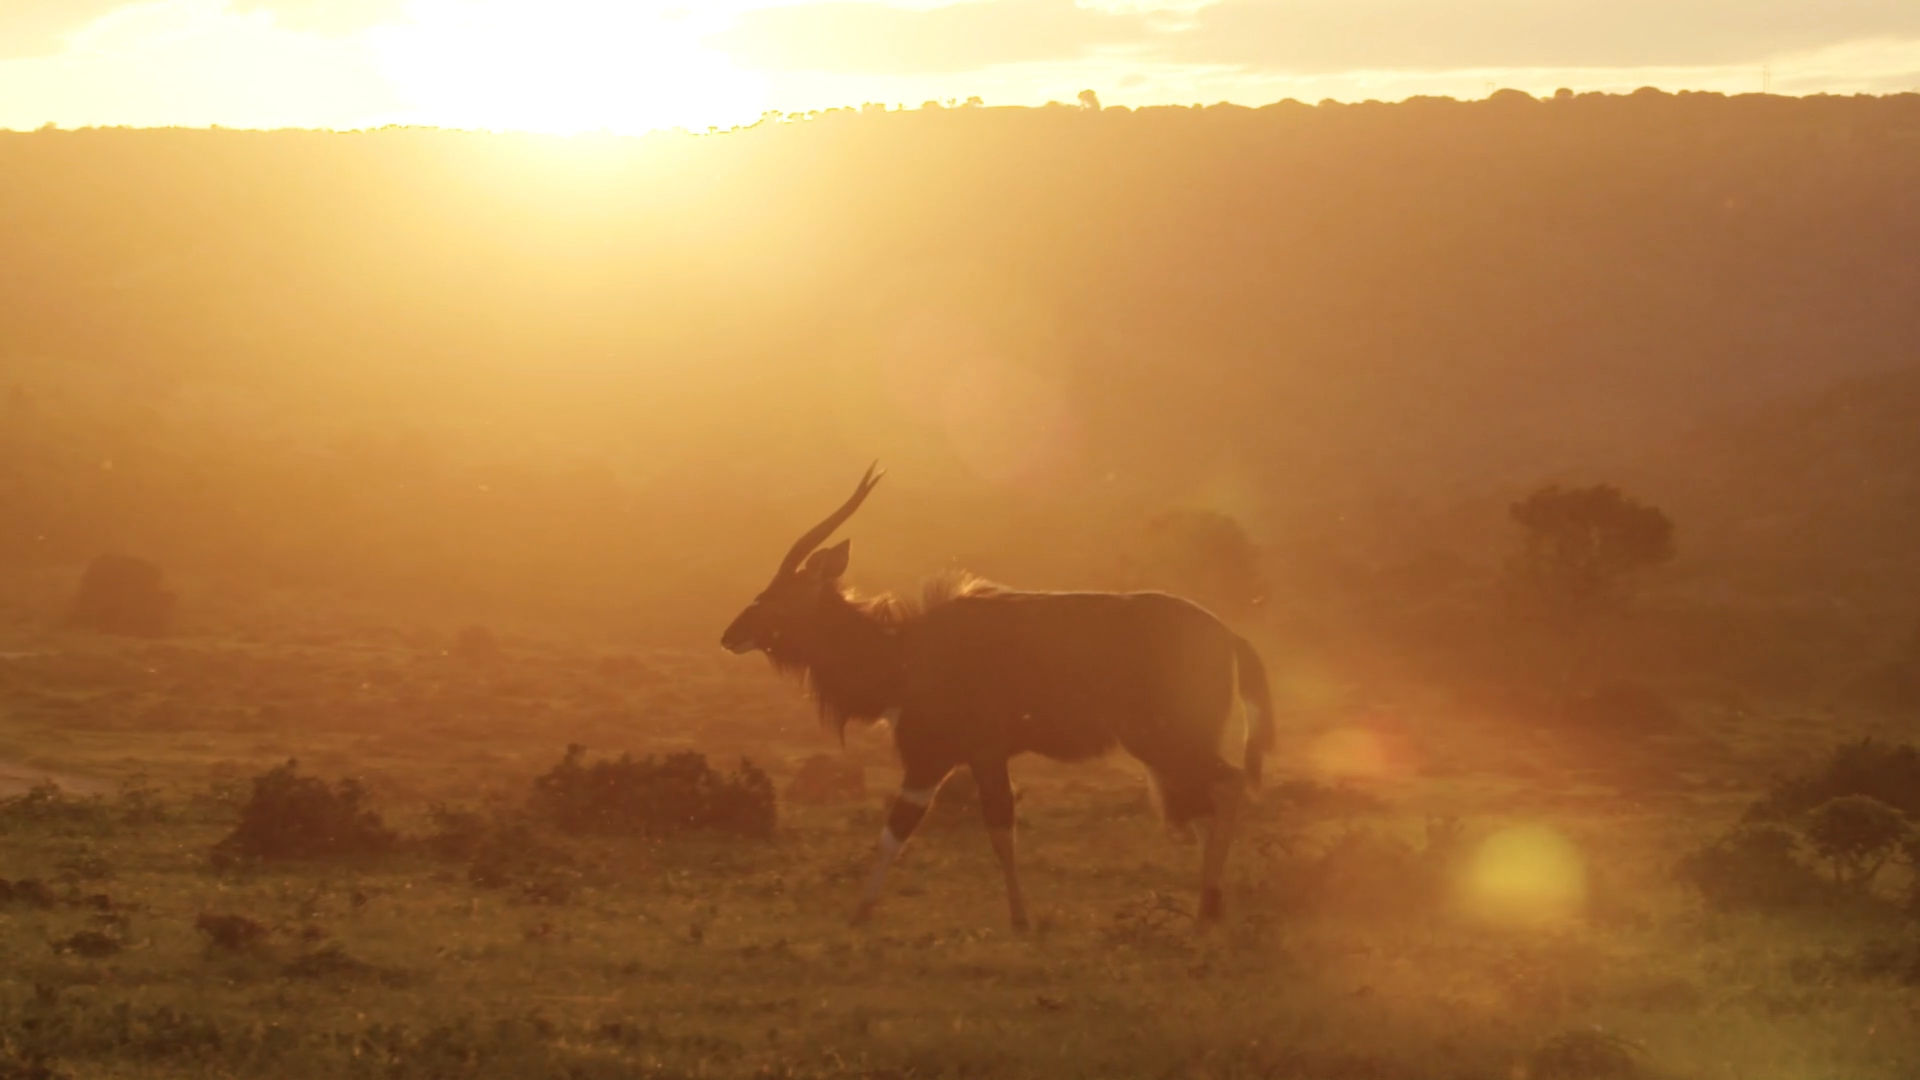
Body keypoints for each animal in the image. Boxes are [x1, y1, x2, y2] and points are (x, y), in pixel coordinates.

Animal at [721, 463, 1274, 926]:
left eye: (778, 594)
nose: (731, 635)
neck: (905, 651)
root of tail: (1227, 636)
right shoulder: (968, 758)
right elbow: (981, 827)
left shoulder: (943, 755)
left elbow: (922, 827)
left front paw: (864, 913)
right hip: (1166, 747)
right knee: (1204, 805)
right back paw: (1207, 905)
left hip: (1165, 740)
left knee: (1227, 786)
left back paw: (1207, 910)